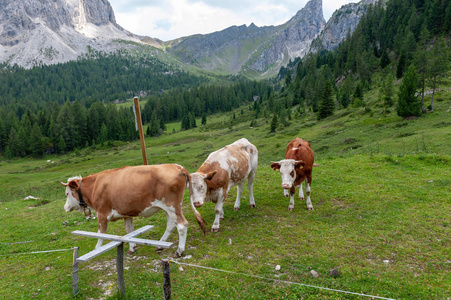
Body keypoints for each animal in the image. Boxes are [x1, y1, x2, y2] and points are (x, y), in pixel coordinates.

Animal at [60, 164, 205, 258]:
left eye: (67, 193)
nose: (65, 207)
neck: (95, 186)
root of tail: (178, 167)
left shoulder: (102, 213)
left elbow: (100, 233)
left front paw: (96, 249)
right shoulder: (126, 213)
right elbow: (129, 231)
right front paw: (132, 248)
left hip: (172, 206)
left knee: (182, 225)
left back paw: (179, 251)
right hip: (170, 208)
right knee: (171, 225)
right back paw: (160, 245)